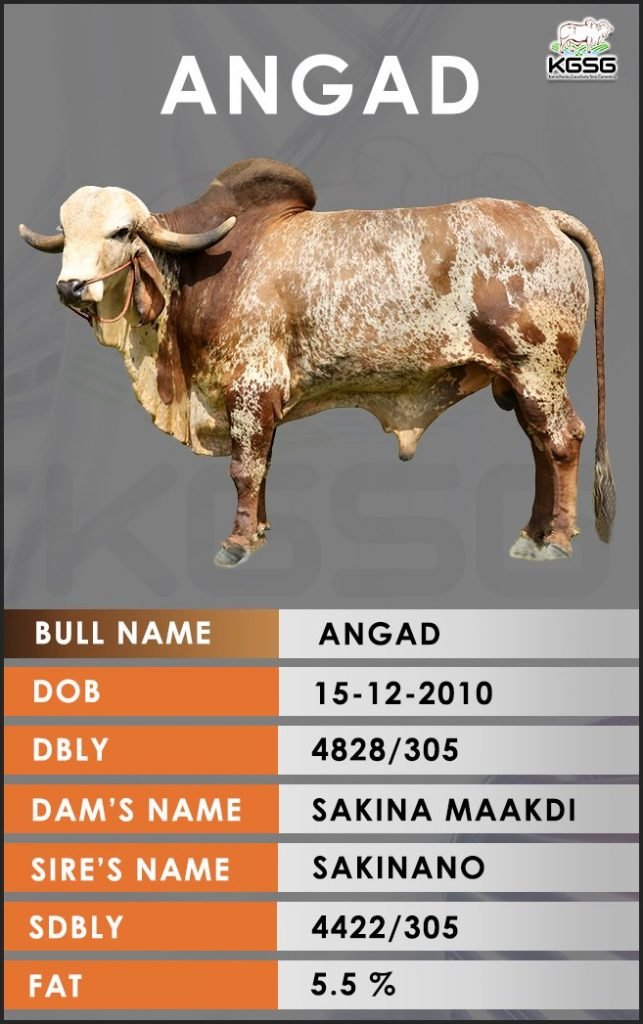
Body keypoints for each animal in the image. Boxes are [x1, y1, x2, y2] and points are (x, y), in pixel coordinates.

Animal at [19, 157, 615, 566]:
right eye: (66, 233)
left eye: (120, 232)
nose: (70, 287)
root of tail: (546, 217)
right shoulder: (261, 401)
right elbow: (262, 465)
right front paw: (258, 532)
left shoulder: (250, 387)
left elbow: (244, 468)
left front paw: (237, 543)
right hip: (514, 380)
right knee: (539, 447)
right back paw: (532, 534)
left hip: (538, 371)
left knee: (562, 442)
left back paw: (557, 541)